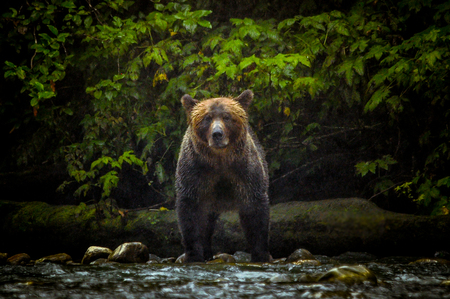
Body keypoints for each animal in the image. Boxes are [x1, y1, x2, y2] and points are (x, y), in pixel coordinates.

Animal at [174, 90, 268, 264]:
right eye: (207, 118)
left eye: (227, 116)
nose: (217, 134)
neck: (220, 160)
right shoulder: (195, 174)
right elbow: (190, 214)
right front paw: (193, 255)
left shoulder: (245, 173)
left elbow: (255, 212)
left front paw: (261, 255)